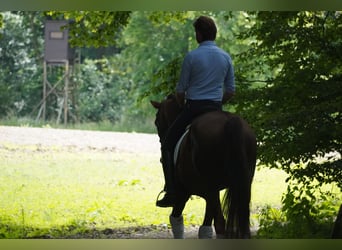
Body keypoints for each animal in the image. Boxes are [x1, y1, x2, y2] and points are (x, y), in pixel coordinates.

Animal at [151, 95, 255, 238]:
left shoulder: (183, 193)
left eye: (157, 122)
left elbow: (176, 220)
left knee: (220, 223)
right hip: (242, 185)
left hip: (211, 188)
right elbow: (206, 228)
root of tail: (231, 121)